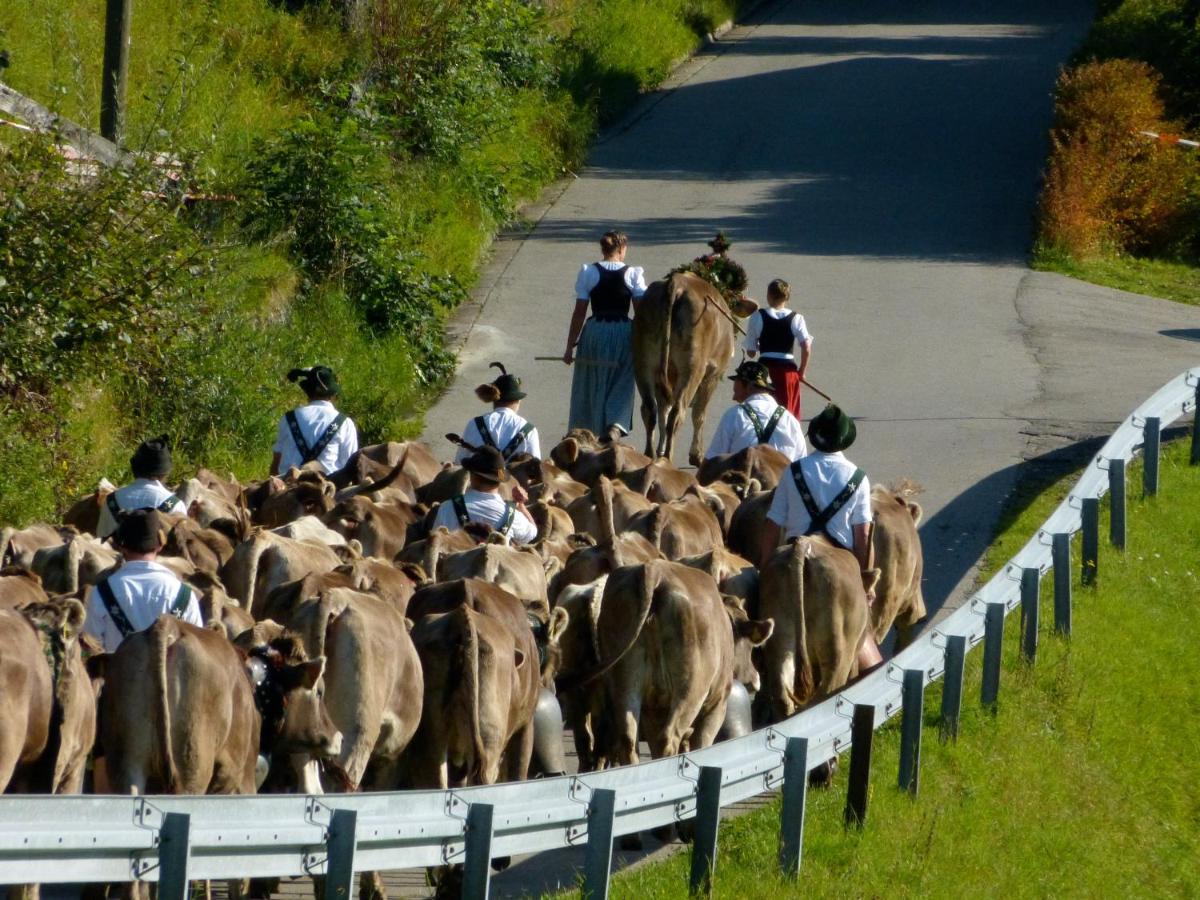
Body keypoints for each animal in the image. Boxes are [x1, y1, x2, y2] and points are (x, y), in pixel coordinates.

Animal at [633, 274, 753, 468]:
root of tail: (677, 282)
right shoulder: (713, 374)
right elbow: (699, 414)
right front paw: (696, 456)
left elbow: (663, 411)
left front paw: (660, 450)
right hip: (692, 369)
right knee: (678, 413)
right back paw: (668, 459)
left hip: (643, 362)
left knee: (650, 410)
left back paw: (649, 455)